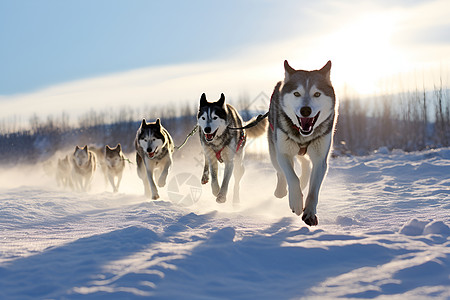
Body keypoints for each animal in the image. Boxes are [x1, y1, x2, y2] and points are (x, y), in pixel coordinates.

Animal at [268, 60, 338, 225]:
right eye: (296, 93)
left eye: (317, 94)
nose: (305, 110)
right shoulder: (283, 153)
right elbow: (291, 177)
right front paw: (296, 203)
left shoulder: (320, 160)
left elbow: (313, 191)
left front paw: (309, 213)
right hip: (274, 151)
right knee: (280, 171)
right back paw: (281, 190)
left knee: (305, 165)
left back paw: (303, 181)